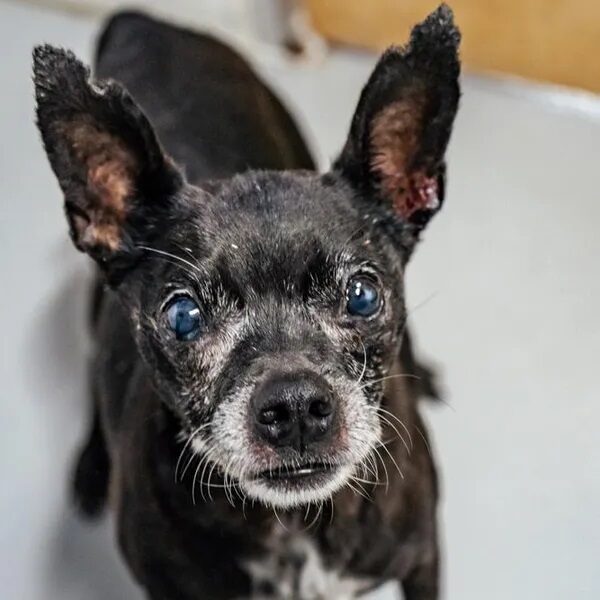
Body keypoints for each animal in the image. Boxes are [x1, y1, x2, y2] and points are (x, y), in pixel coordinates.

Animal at [32, 5, 462, 600]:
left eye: (362, 296)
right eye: (183, 317)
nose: (295, 406)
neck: (296, 524)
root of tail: (146, 21)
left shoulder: (423, 561)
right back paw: (93, 466)